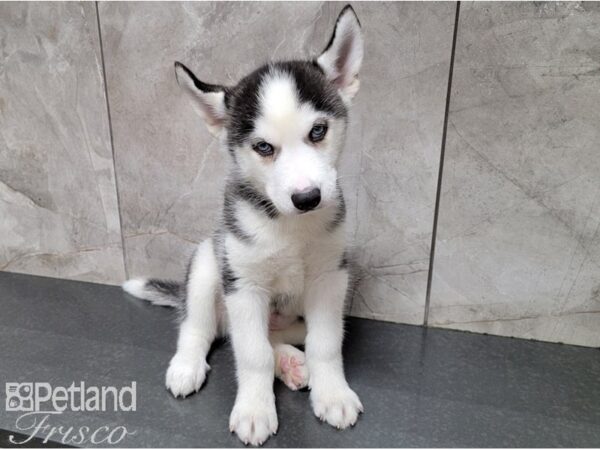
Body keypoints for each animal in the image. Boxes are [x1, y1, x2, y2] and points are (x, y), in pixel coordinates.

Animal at [124, 5, 364, 444]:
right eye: (264, 147)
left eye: (318, 131)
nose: (308, 198)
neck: (289, 228)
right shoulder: (244, 285)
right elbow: (252, 356)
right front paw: (254, 409)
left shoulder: (329, 279)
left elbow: (324, 344)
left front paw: (333, 394)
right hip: (209, 266)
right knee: (203, 329)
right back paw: (188, 364)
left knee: (267, 337)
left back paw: (291, 363)